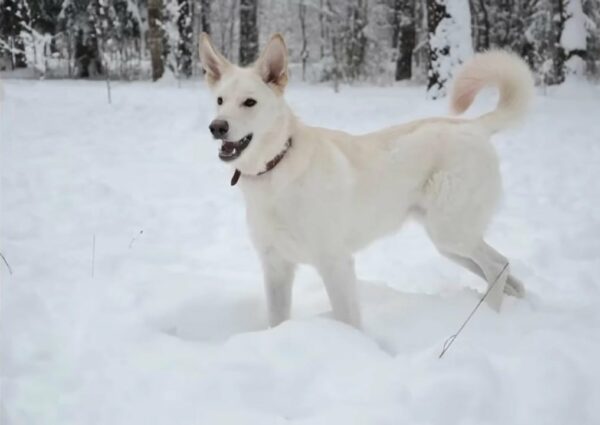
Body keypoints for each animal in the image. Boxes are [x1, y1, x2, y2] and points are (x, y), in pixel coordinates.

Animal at [199, 32, 532, 328]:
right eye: (220, 100)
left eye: (249, 102)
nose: (217, 127)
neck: (277, 168)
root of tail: (474, 126)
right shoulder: (276, 267)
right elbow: (277, 321)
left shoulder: (335, 263)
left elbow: (349, 321)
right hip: (449, 243)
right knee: (506, 272)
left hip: (452, 232)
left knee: (497, 266)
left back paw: (489, 318)